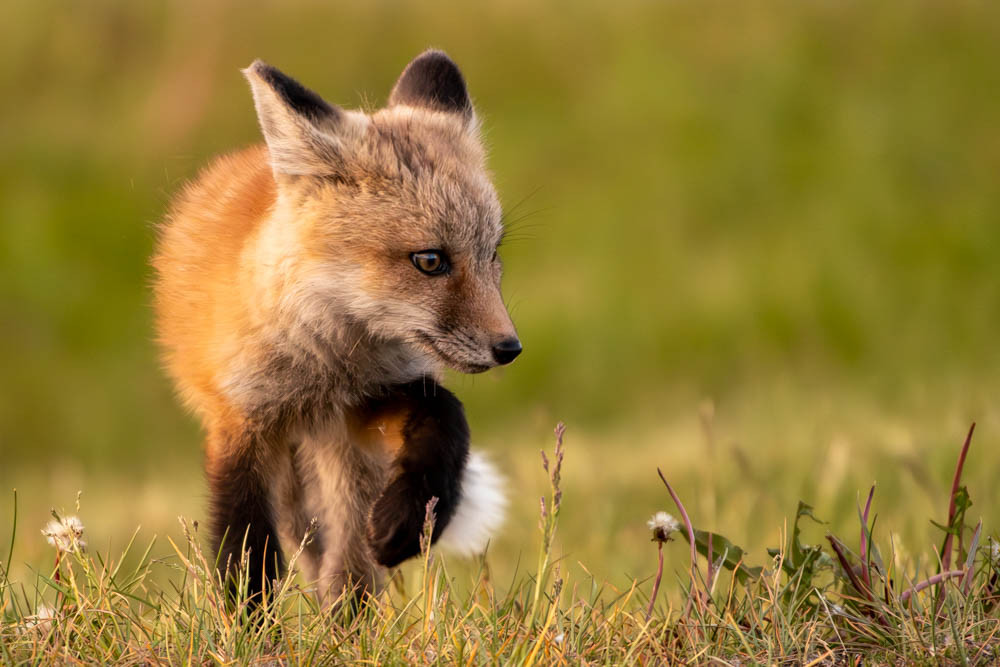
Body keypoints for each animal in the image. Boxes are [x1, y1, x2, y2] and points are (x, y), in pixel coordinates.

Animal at [152, 50, 520, 604]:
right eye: (430, 260)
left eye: (491, 253)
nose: (510, 348)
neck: (326, 367)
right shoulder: (243, 420)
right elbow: (246, 552)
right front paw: (247, 624)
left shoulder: (365, 405)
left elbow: (447, 415)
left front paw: (408, 522)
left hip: (342, 464)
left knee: (345, 564)